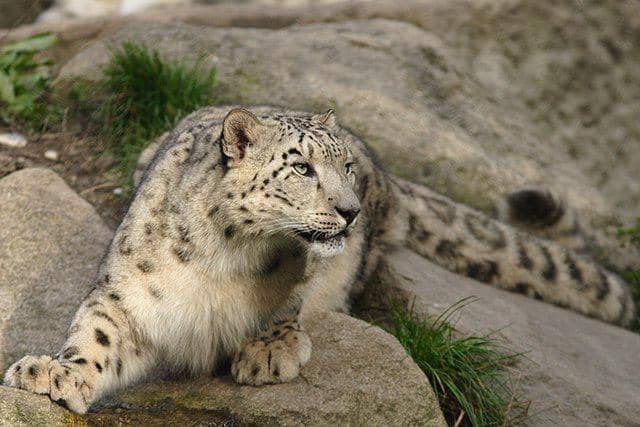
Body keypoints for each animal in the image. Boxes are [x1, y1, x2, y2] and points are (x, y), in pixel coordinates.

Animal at [3, 106, 635, 414]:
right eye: (302, 168)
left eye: (342, 166)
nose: (349, 210)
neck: (223, 258)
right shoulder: (126, 294)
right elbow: (98, 335)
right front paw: (55, 374)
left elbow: (288, 302)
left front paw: (268, 351)